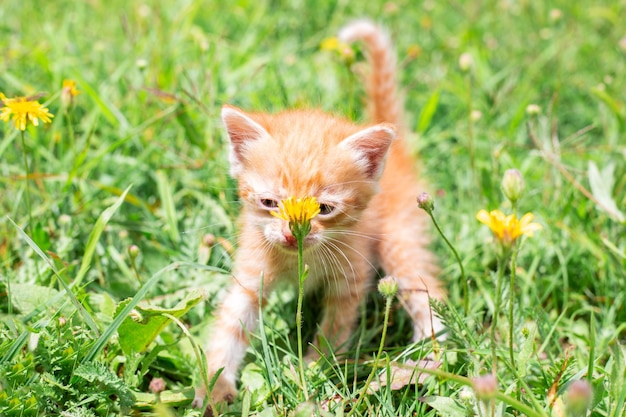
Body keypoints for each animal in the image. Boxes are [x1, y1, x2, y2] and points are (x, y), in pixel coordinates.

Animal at [195, 20, 444, 410]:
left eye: (324, 209)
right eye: (270, 203)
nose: (290, 234)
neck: (300, 257)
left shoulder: (351, 279)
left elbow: (334, 330)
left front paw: (310, 369)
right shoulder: (251, 274)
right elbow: (230, 326)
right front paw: (215, 387)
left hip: (401, 241)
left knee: (428, 290)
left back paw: (430, 354)